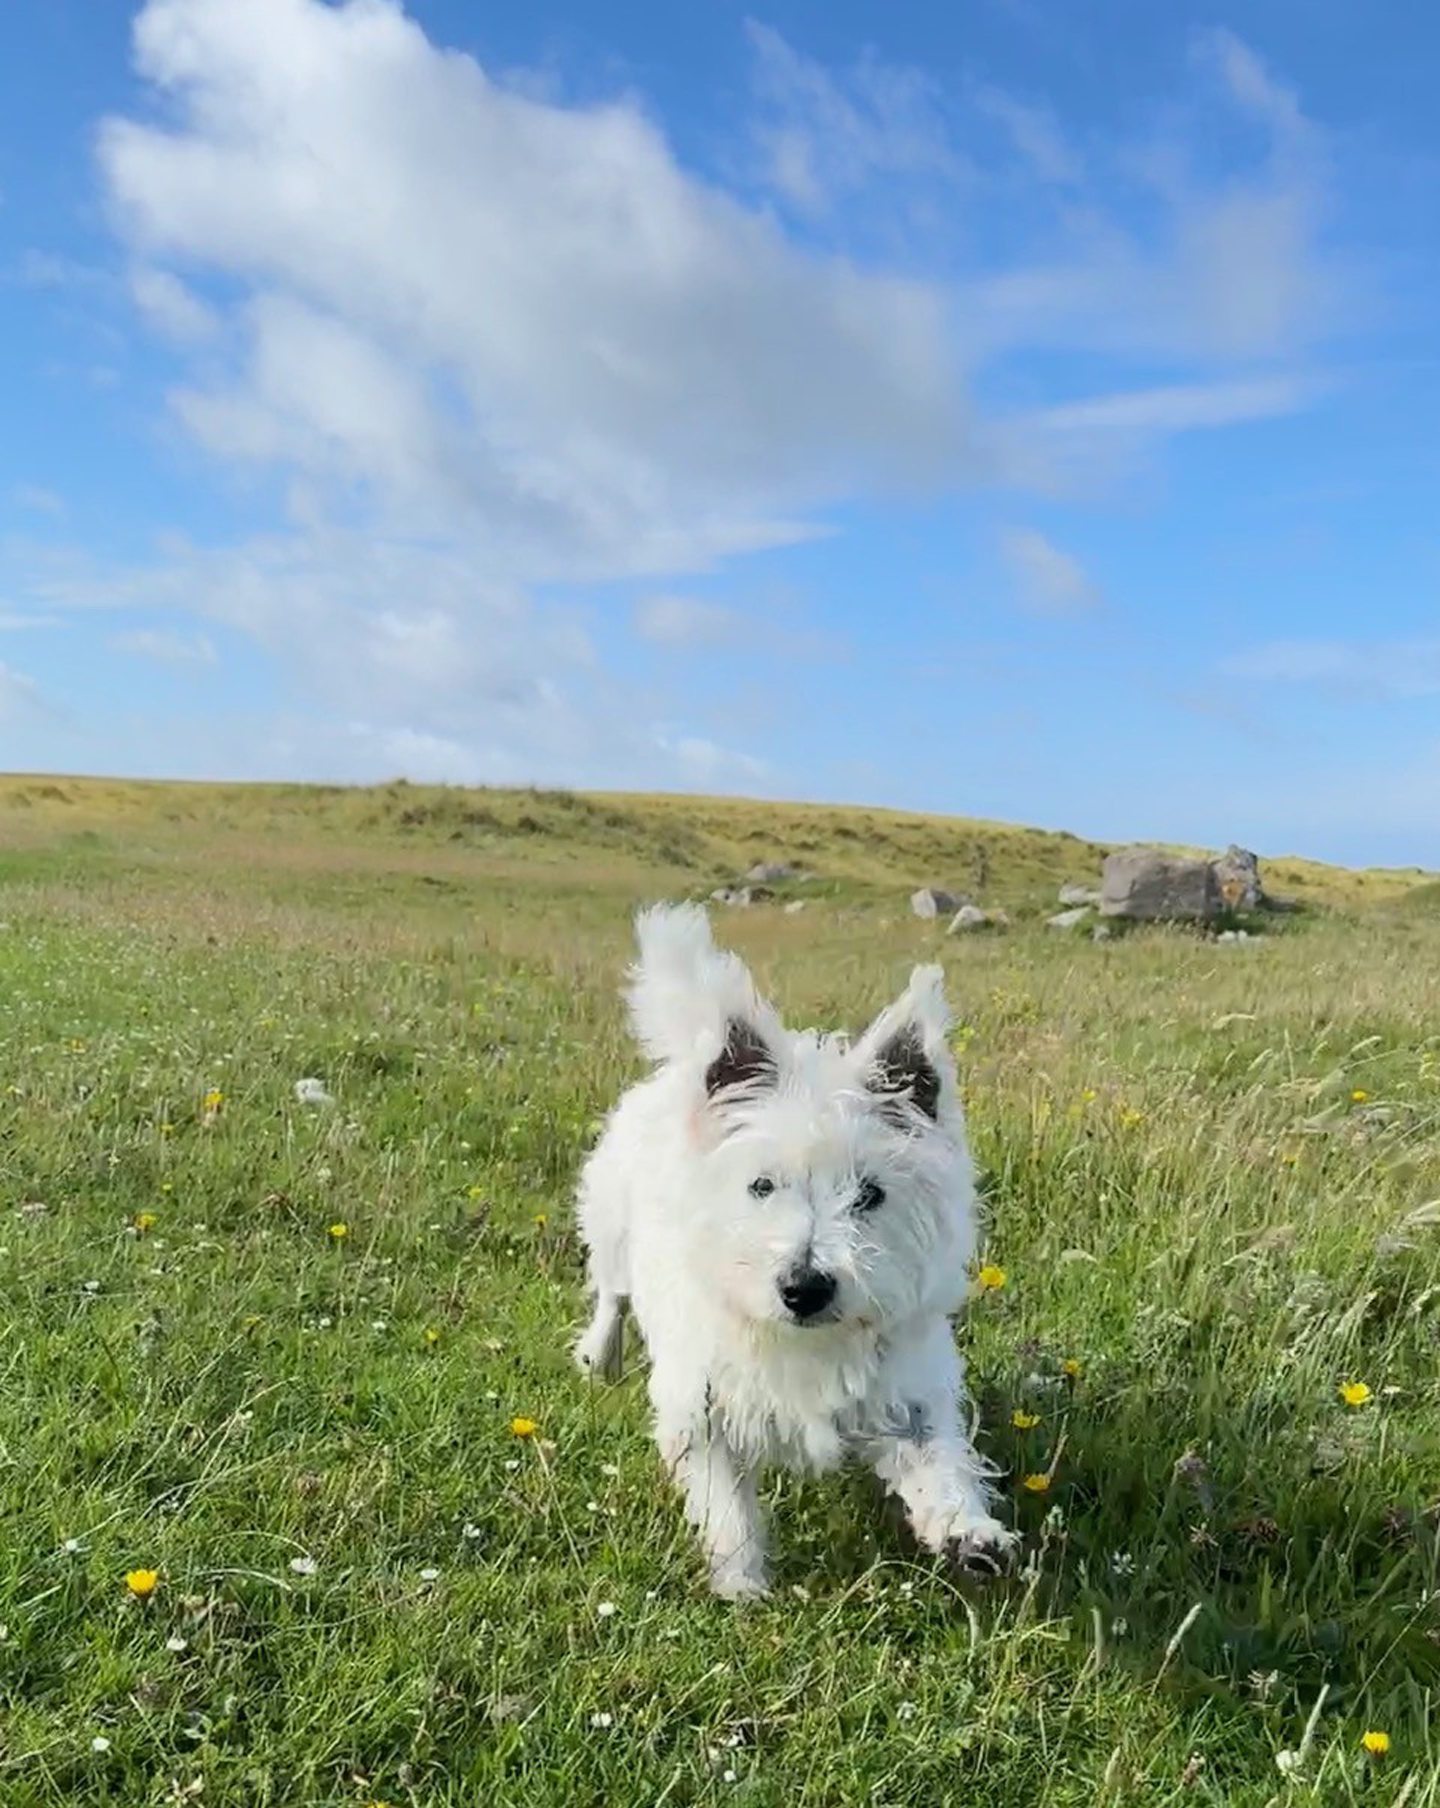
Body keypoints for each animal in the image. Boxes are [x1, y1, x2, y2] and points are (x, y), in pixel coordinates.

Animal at [575, 904, 1013, 1598]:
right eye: (761, 1185)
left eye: (869, 1193)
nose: (804, 1287)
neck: (803, 1341)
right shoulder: (704, 1408)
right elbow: (724, 1500)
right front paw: (741, 1582)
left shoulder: (906, 1394)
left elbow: (937, 1461)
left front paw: (969, 1532)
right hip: (612, 1227)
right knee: (610, 1295)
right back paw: (598, 1353)